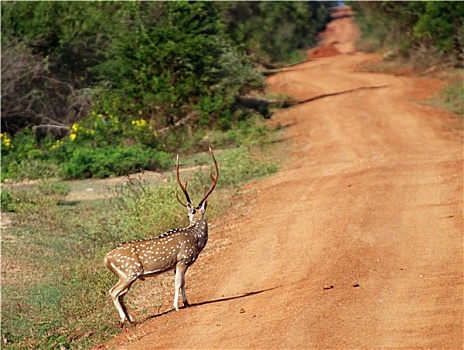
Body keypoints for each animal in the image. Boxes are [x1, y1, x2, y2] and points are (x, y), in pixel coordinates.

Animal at [104, 148, 219, 326]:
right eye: (187, 215)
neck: (195, 238)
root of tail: (106, 259)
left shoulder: (177, 265)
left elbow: (183, 282)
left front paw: (186, 302)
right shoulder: (183, 259)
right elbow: (178, 283)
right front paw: (177, 306)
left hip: (127, 276)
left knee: (120, 294)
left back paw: (131, 319)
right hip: (130, 272)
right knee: (113, 291)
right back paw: (123, 320)